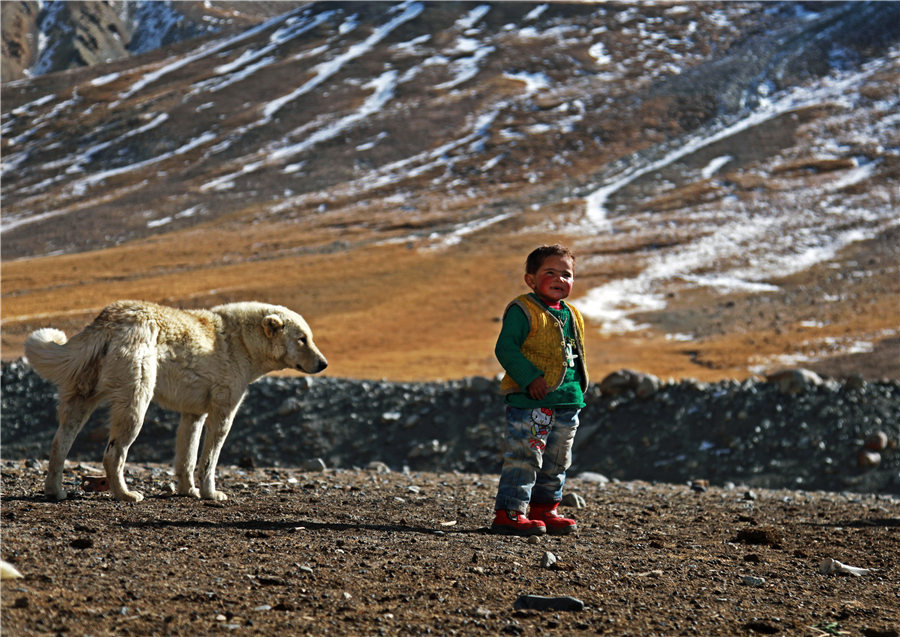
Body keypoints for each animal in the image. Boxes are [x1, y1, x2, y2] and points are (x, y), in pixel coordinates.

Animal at [23, 300, 326, 504]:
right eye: (302, 339)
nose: (323, 363)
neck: (242, 342)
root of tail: (107, 322)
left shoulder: (193, 412)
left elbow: (186, 454)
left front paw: (187, 490)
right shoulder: (223, 407)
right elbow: (209, 457)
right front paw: (211, 493)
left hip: (83, 387)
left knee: (60, 440)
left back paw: (55, 490)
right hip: (136, 389)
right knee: (115, 450)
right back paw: (127, 494)